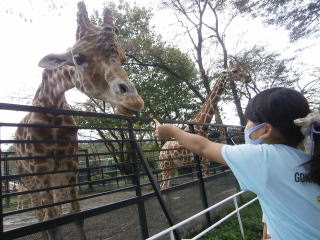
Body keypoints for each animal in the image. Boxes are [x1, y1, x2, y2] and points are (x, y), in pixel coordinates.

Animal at [13, 2, 144, 240]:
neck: (52, 110)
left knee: (53, 210)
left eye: (123, 59)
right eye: (78, 58)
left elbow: (76, 215)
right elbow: (52, 223)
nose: (133, 100)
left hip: (56, 178)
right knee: (40, 215)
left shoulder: (70, 165)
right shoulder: (41, 168)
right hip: (27, 177)